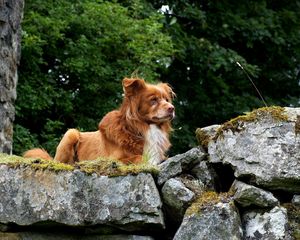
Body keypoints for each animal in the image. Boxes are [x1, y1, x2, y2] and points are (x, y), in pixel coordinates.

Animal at [24, 78, 176, 165]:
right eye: (153, 100)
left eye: (166, 99)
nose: (172, 108)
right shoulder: (112, 158)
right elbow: (138, 158)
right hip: (71, 133)